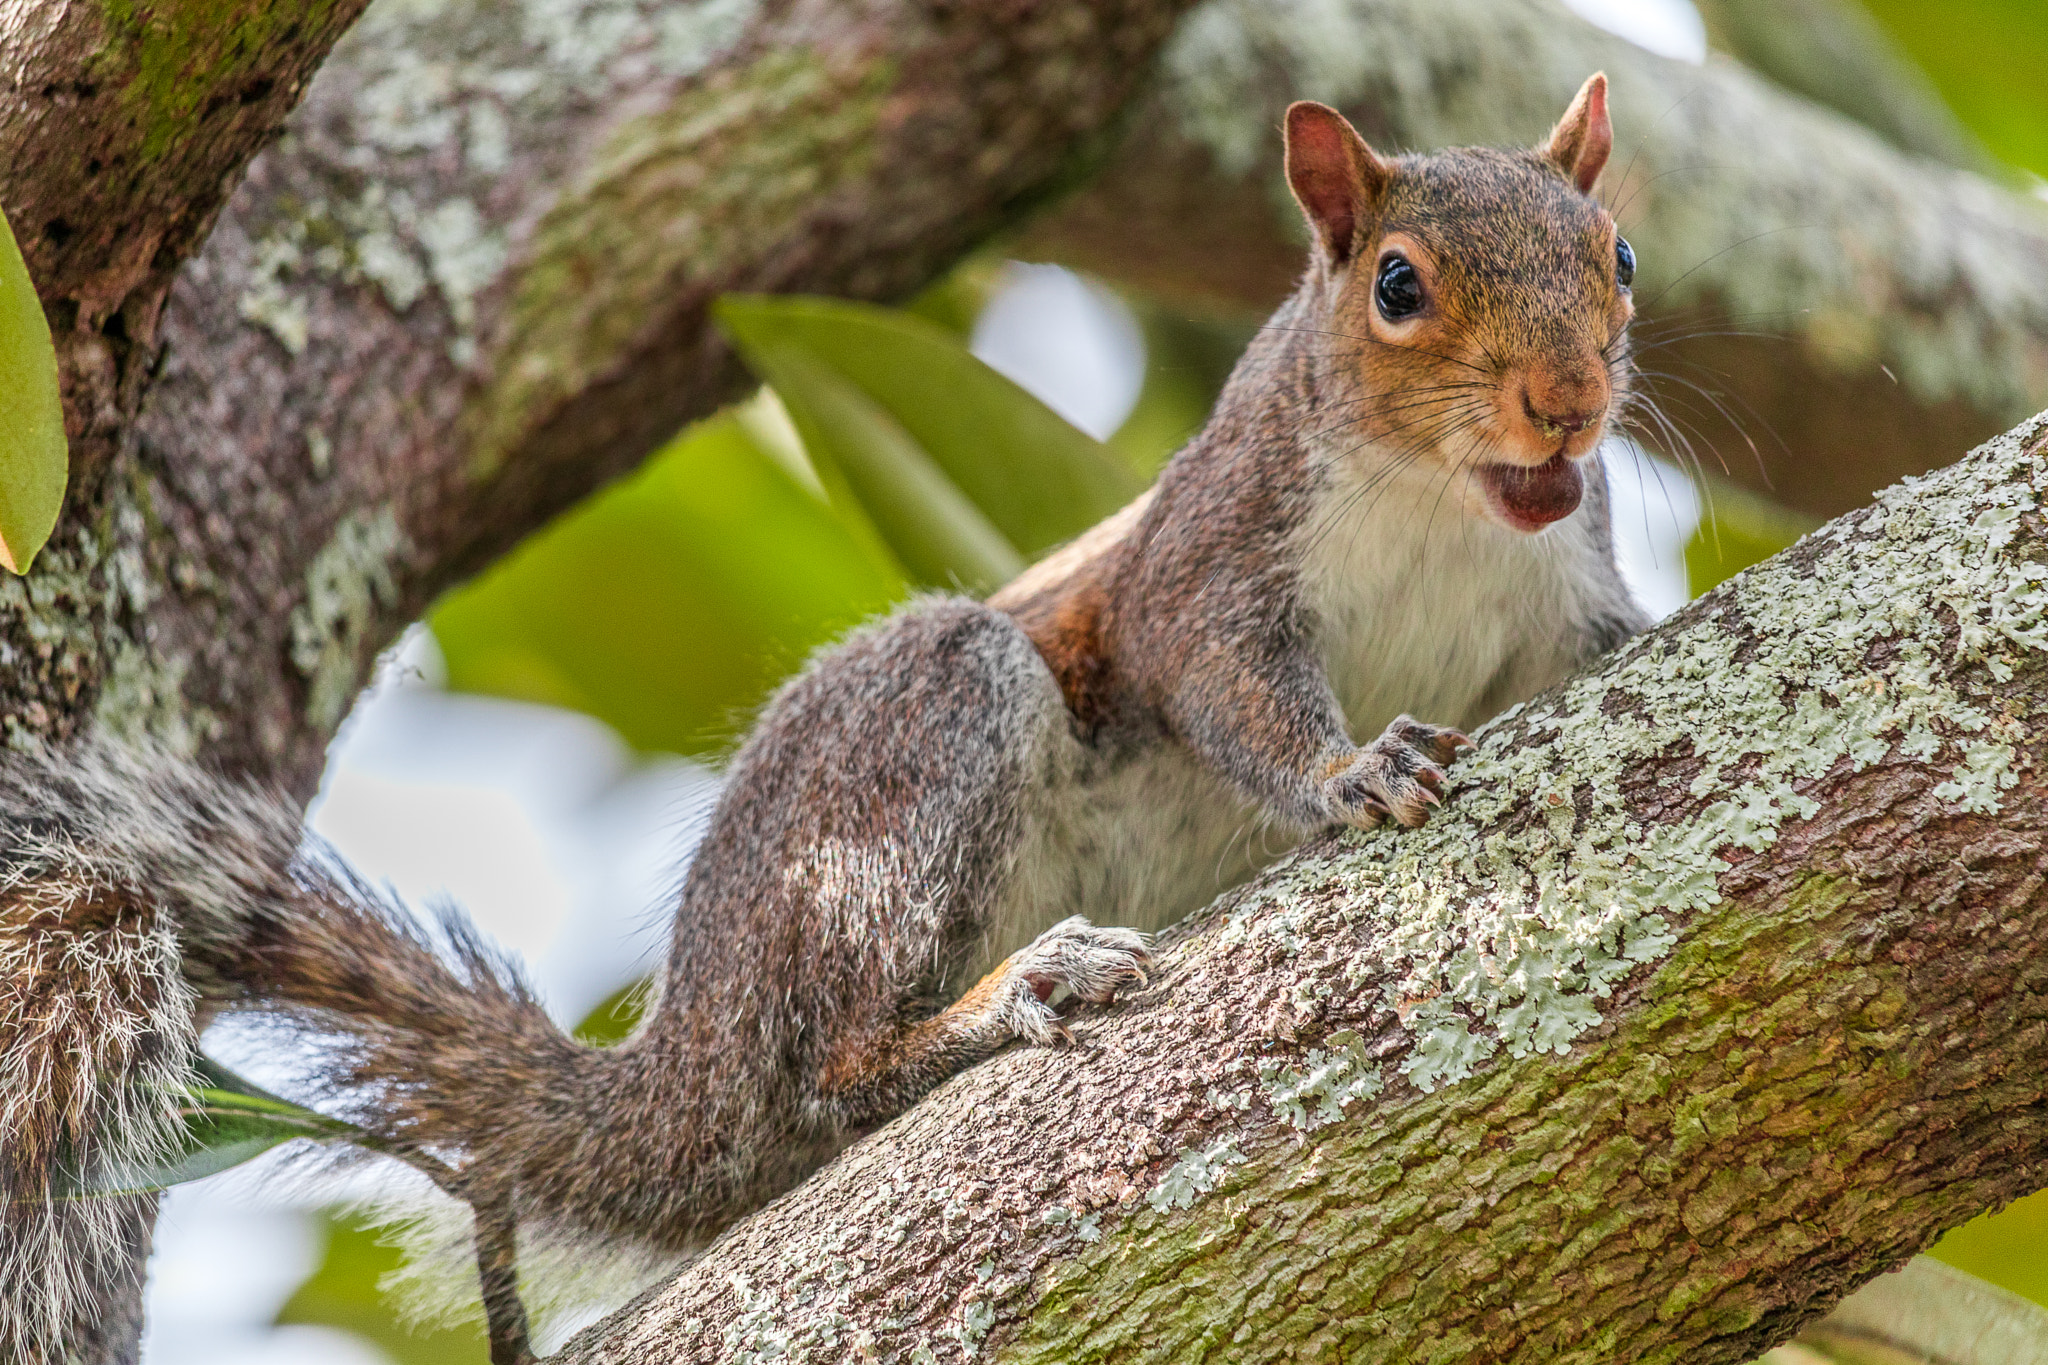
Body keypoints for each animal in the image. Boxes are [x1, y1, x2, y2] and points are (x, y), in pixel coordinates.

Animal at [0, 74, 1649, 1361]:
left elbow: (1601, 645)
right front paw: (1349, 767)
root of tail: (685, 1072)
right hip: (921, 743)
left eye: (1619, 256)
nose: (1567, 403)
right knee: (830, 1071)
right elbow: (1221, 677)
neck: (1447, 504)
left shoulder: (1559, 598)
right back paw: (1000, 1000)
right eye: (1397, 286)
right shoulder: (1212, 549)